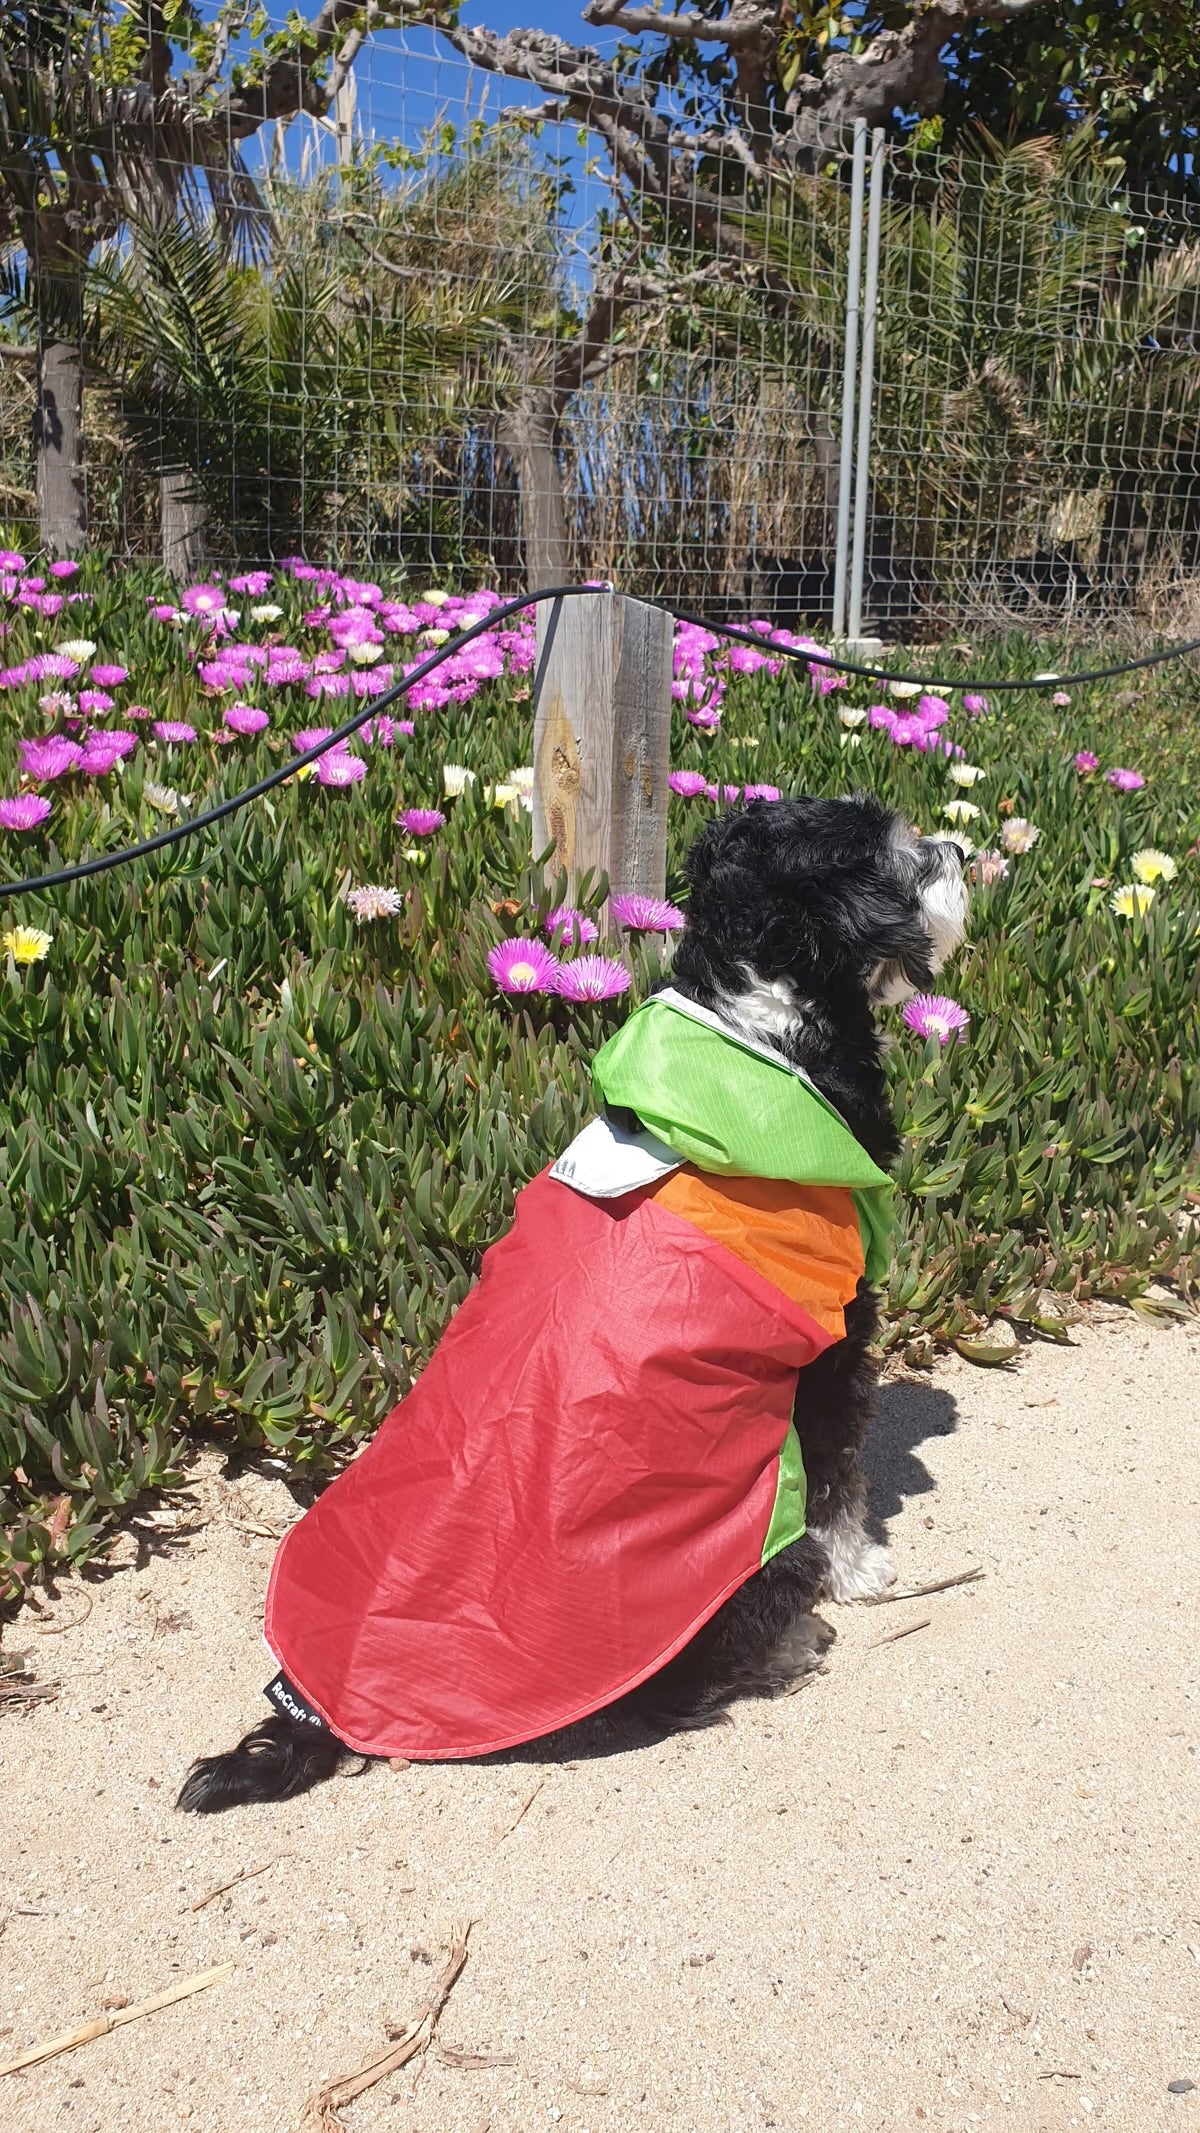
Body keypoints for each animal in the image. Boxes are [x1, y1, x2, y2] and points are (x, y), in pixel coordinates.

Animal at [175, 793, 967, 1808]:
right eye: (897, 854)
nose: (962, 850)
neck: (757, 1038)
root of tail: (326, 1706)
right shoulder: (832, 1335)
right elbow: (836, 1469)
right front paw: (861, 1567)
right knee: (683, 1683)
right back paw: (791, 1643)